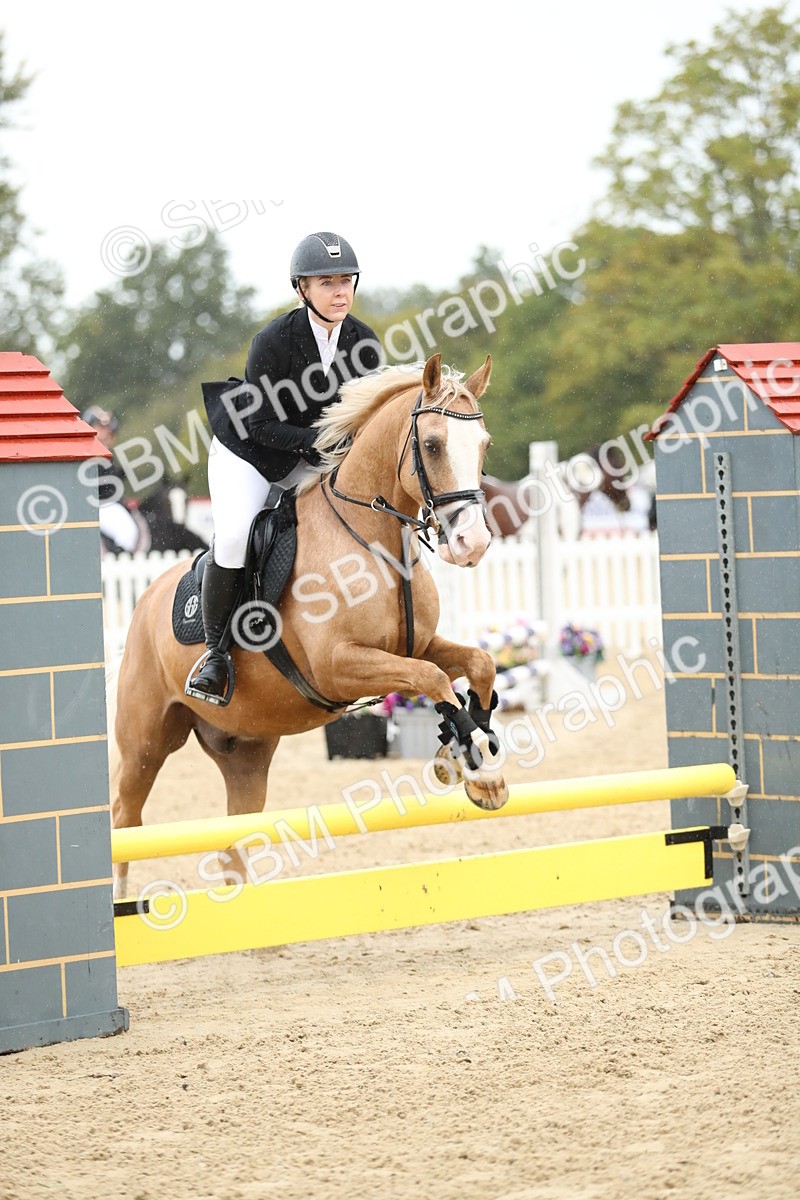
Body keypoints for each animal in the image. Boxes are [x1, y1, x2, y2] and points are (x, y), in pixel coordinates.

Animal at [110, 353, 507, 900]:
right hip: (146, 742)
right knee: (125, 817)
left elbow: (478, 663)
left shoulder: (417, 646)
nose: (473, 543)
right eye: (432, 445)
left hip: (246, 751)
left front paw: (472, 757)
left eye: (484, 444)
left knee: (234, 835)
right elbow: (430, 679)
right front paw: (474, 763)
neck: (374, 541)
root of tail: (146, 599)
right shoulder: (338, 666)